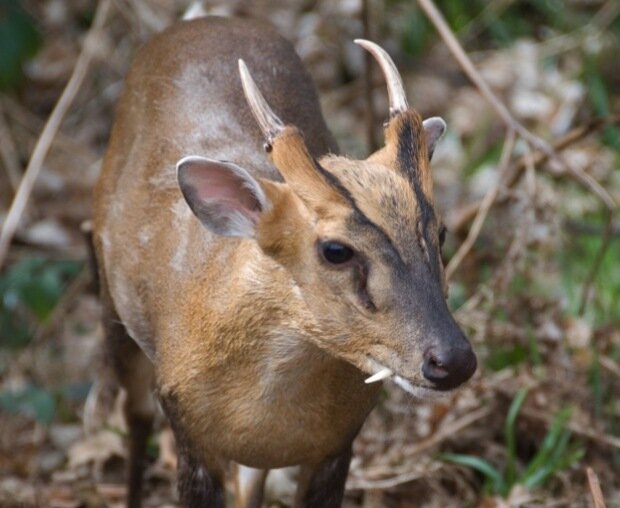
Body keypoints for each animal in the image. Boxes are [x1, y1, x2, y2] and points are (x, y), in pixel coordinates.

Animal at [92, 13, 478, 508]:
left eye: (440, 232)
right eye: (335, 250)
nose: (453, 360)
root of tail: (205, 20)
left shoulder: (338, 442)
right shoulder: (185, 424)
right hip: (112, 302)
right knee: (135, 418)